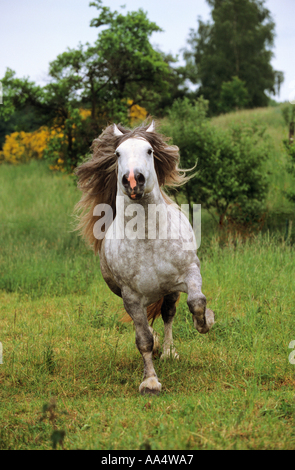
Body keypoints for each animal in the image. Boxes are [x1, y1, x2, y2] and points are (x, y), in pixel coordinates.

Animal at [75, 120, 215, 392]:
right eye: (117, 154)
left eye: (149, 151)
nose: (132, 179)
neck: (149, 238)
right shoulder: (131, 297)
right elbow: (143, 340)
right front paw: (150, 382)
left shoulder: (189, 272)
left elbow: (196, 302)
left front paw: (206, 322)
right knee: (150, 326)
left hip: (169, 291)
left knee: (169, 313)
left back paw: (170, 352)